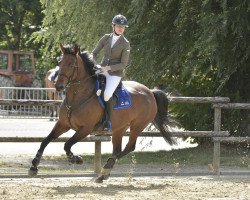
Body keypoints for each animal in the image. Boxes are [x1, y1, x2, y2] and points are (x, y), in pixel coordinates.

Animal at [28, 44, 175, 183]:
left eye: (71, 64)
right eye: (59, 63)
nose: (58, 86)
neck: (77, 97)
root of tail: (150, 92)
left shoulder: (85, 129)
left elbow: (67, 144)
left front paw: (76, 159)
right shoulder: (63, 124)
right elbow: (45, 141)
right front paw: (34, 166)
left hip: (137, 126)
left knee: (129, 147)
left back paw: (105, 168)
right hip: (120, 128)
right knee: (117, 149)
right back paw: (104, 174)